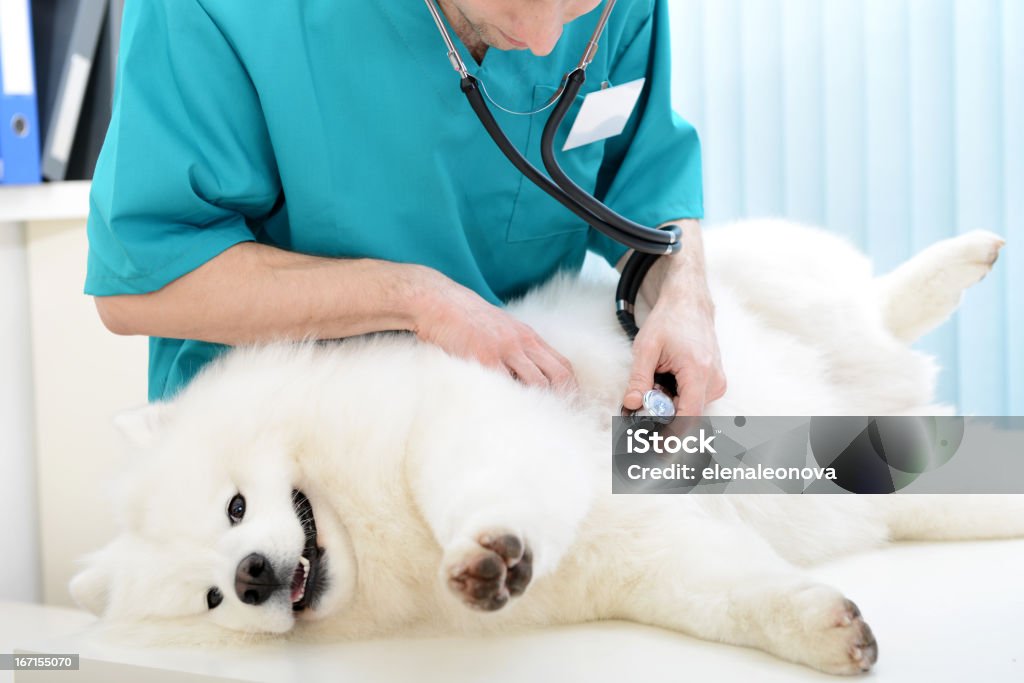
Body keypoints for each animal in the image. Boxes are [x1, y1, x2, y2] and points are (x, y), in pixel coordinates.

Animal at [68, 223, 1019, 671]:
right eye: (212, 599)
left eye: (235, 506)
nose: (253, 574)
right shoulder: (637, 557)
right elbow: (730, 595)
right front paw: (823, 630)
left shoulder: (467, 418)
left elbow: (471, 482)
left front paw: (484, 551)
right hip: (881, 489)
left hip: (767, 287)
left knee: (875, 305)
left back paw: (960, 262)